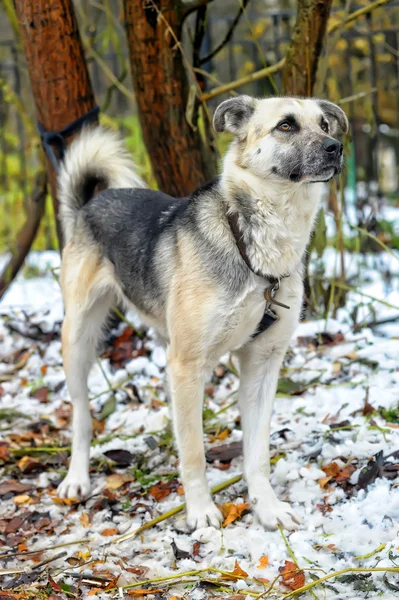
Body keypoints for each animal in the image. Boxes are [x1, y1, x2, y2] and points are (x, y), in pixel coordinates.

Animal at [57, 96, 348, 532]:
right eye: (286, 126)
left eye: (325, 124)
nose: (336, 147)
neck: (250, 243)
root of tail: (89, 204)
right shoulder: (188, 365)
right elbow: (194, 451)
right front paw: (200, 512)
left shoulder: (263, 364)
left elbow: (257, 453)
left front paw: (267, 507)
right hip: (78, 340)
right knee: (81, 416)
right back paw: (77, 476)